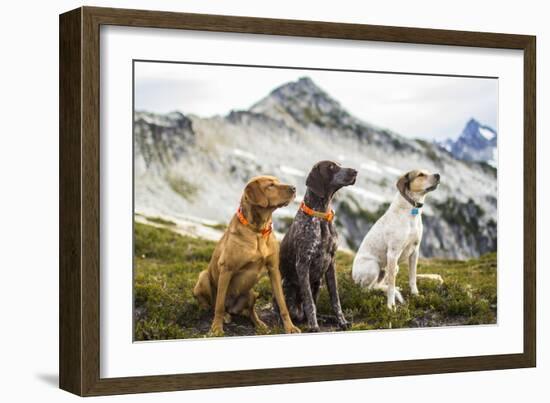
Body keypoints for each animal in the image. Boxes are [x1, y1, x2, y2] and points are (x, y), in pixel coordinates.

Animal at [194, 175, 302, 336]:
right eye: (270, 185)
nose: (294, 188)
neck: (258, 230)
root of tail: (232, 308)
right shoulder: (226, 269)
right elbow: (219, 305)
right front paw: (217, 328)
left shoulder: (274, 270)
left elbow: (283, 304)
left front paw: (290, 327)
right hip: (204, 277)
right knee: (213, 305)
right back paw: (217, 313)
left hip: (251, 293)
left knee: (250, 311)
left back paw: (259, 324)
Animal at [280, 160, 358, 332]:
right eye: (331, 167)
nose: (355, 171)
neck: (321, 214)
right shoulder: (303, 264)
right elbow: (309, 302)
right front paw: (314, 326)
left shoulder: (331, 263)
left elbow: (335, 299)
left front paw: (341, 321)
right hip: (286, 285)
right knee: (292, 311)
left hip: (319, 282)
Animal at [354, 170, 444, 310]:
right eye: (421, 174)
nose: (438, 175)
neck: (411, 211)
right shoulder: (393, 253)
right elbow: (391, 285)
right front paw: (391, 306)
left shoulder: (415, 251)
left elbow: (412, 277)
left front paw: (415, 295)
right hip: (373, 266)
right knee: (366, 289)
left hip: (393, 268)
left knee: (377, 285)